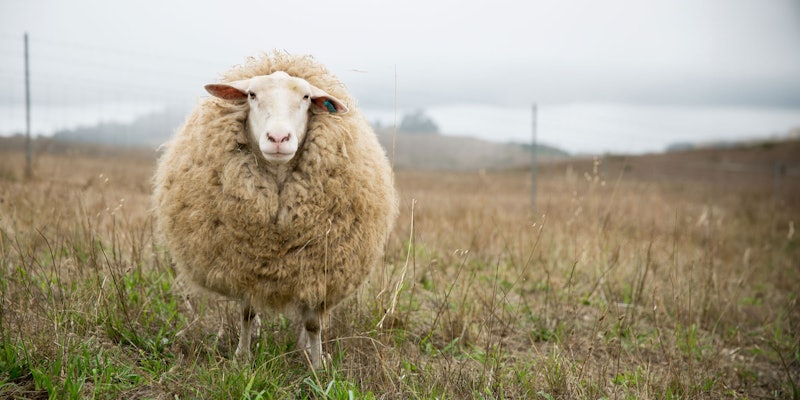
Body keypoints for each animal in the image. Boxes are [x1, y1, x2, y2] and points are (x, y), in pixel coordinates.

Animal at [152, 51, 398, 369]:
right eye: (252, 95)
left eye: (306, 97)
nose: (278, 138)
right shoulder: (246, 263)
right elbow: (246, 313)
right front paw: (242, 357)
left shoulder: (318, 270)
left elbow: (313, 324)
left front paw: (317, 365)